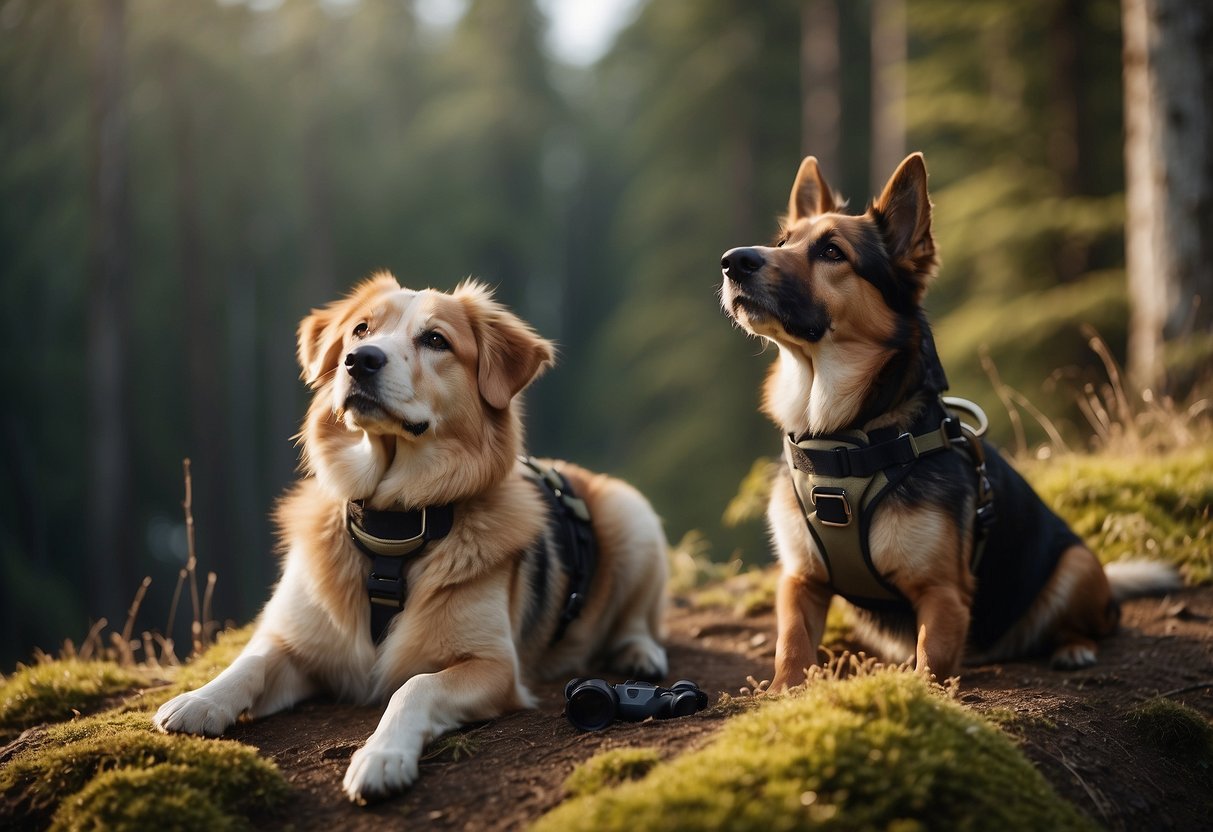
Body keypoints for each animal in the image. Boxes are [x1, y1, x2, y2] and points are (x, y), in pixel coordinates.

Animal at [152, 276, 669, 805]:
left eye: (436, 339)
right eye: (360, 330)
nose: (359, 360)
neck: (392, 527)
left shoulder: (494, 667)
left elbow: (416, 685)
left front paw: (382, 757)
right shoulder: (299, 643)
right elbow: (253, 660)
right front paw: (201, 699)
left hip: (634, 517)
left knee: (637, 618)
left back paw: (639, 653)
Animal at [718, 153, 1174, 688]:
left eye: (832, 252)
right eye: (781, 242)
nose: (733, 261)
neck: (844, 437)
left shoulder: (943, 595)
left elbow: (929, 660)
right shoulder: (800, 582)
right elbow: (791, 646)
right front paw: (783, 694)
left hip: (1078, 564)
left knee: (1096, 623)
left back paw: (1073, 647)